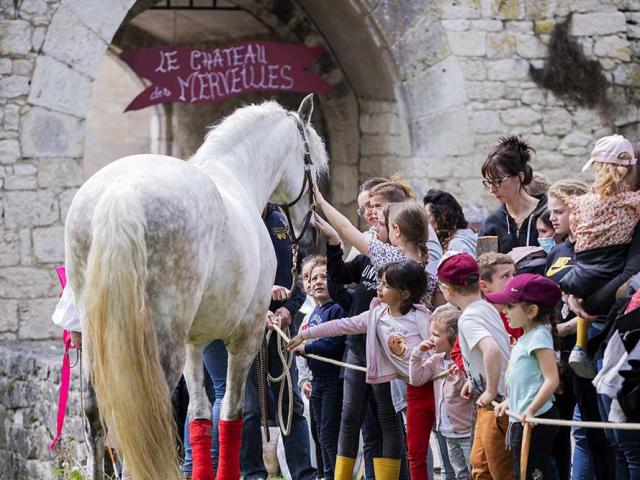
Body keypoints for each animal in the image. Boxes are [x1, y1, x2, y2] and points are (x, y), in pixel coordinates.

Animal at [65, 95, 328, 478]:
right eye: (314, 165)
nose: (310, 233)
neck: (236, 177)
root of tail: (121, 192)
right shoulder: (246, 335)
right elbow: (232, 413)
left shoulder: (196, 341)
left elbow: (200, 415)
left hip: (96, 338)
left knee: (97, 416)